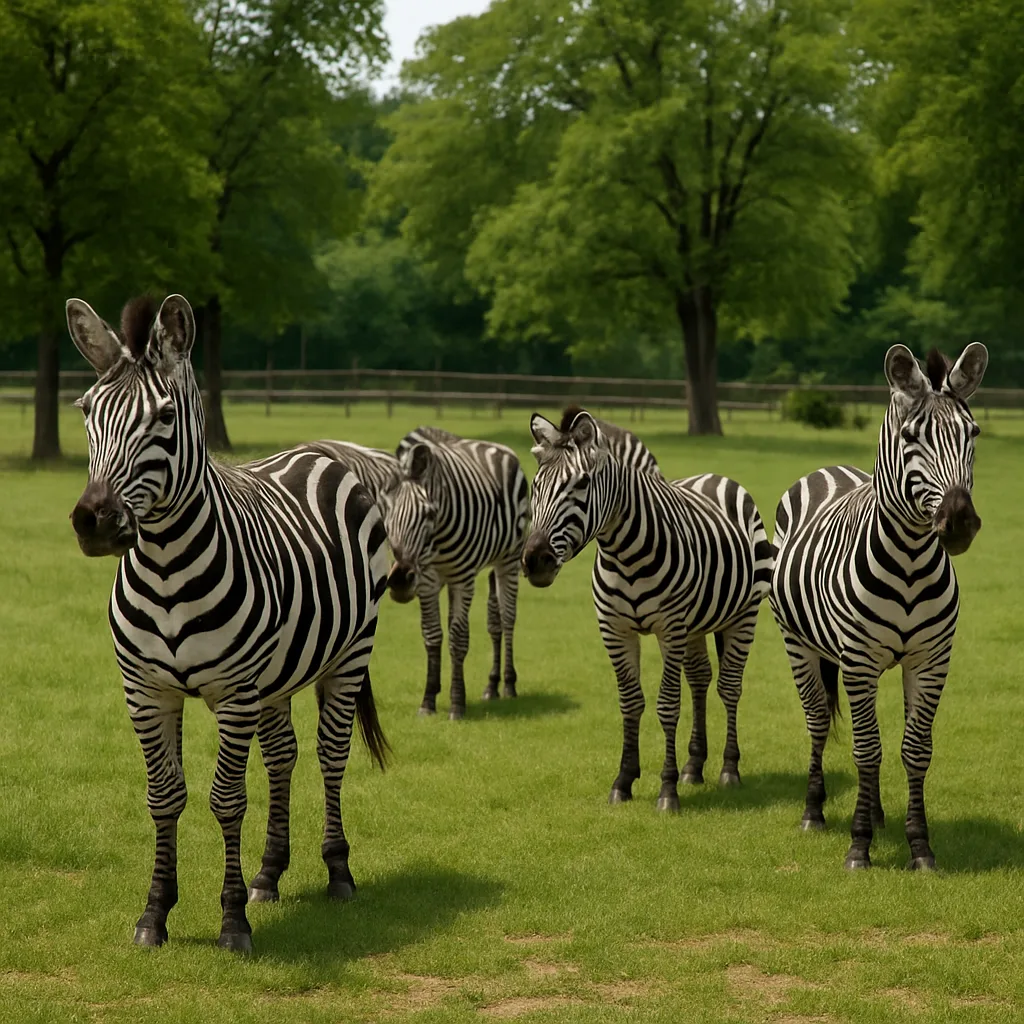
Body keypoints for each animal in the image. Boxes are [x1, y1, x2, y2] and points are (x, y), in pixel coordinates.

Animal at [66, 294, 390, 952]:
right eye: (86, 411)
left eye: (166, 417)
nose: (94, 521)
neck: (166, 567)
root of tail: (316, 452)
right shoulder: (146, 692)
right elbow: (164, 797)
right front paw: (155, 913)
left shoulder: (235, 693)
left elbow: (227, 799)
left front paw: (233, 920)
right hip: (278, 676)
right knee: (285, 755)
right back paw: (269, 873)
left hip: (349, 655)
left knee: (331, 753)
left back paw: (338, 872)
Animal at [383, 426, 530, 719]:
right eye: (387, 513)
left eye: (429, 514)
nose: (400, 580)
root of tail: (491, 445)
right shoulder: (428, 580)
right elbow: (432, 635)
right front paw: (429, 699)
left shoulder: (463, 578)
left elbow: (459, 638)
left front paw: (457, 703)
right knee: (491, 619)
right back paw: (492, 686)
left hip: (508, 560)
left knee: (507, 618)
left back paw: (508, 684)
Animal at [522, 408, 773, 809]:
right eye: (536, 486)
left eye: (582, 484)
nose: (535, 561)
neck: (623, 554)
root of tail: (715, 476)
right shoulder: (614, 629)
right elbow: (630, 702)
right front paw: (624, 781)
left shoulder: (669, 629)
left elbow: (667, 705)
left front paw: (667, 789)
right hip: (696, 625)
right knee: (700, 679)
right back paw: (694, 765)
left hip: (743, 615)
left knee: (730, 686)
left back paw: (729, 769)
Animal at [770, 343, 988, 871]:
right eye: (911, 438)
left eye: (972, 434)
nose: (959, 523)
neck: (909, 559)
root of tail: (829, 468)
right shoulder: (858, 661)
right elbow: (867, 750)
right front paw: (859, 846)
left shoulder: (932, 661)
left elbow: (915, 749)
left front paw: (919, 846)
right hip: (797, 643)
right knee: (817, 720)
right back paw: (814, 812)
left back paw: (877, 812)